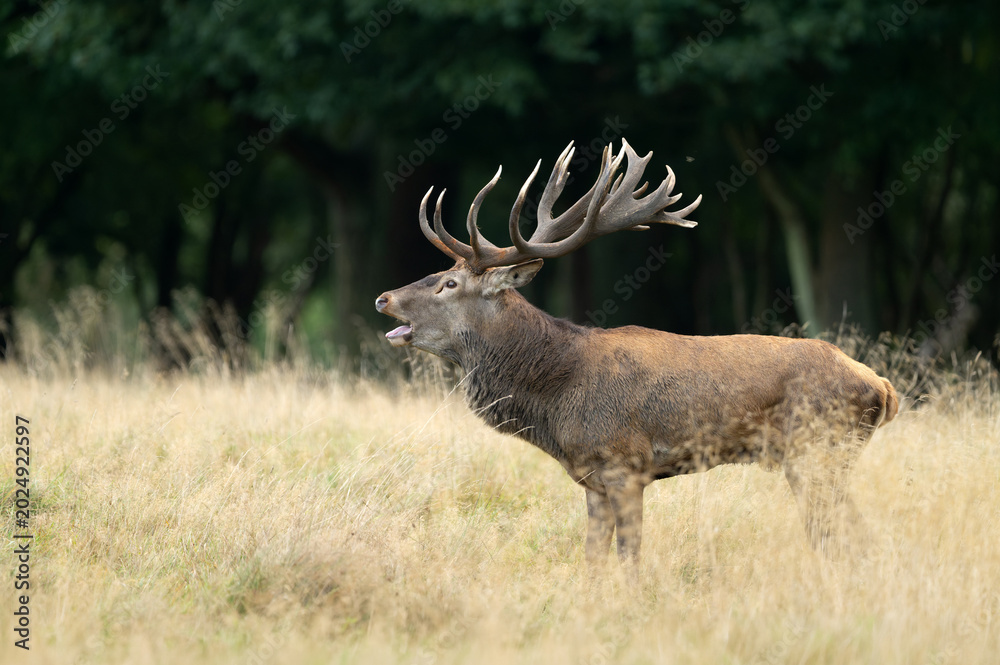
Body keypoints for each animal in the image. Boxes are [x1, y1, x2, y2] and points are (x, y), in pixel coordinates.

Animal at [375, 139, 898, 566]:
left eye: (449, 283)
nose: (384, 297)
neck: (556, 398)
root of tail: (883, 388)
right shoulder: (592, 479)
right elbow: (592, 558)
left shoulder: (625, 464)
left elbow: (630, 557)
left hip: (819, 450)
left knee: (844, 537)